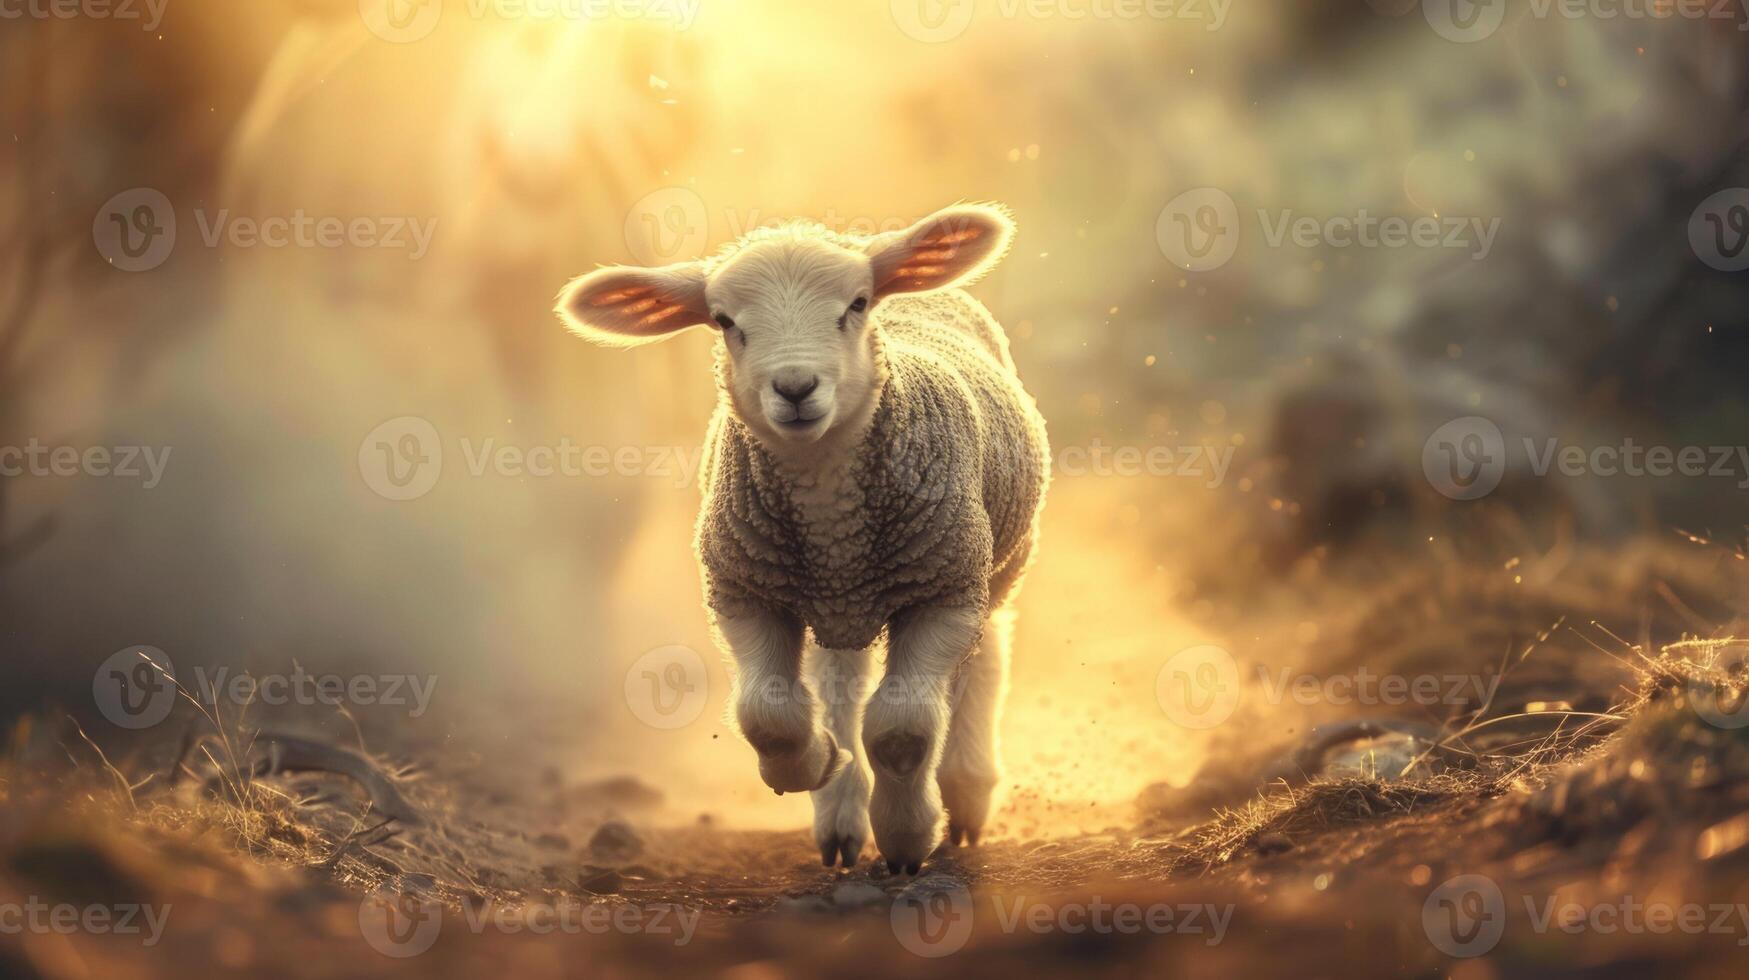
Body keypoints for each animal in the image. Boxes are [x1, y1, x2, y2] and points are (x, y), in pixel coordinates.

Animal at [555, 204, 1049, 874]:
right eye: (724, 320)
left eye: (857, 303)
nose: (794, 387)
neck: (830, 511)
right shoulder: (745, 591)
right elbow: (769, 713)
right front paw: (818, 764)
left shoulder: (941, 591)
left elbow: (902, 729)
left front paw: (905, 839)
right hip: (835, 604)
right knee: (839, 686)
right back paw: (840, 819)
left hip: (991, 565)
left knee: (984, 657)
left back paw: (966, 794)